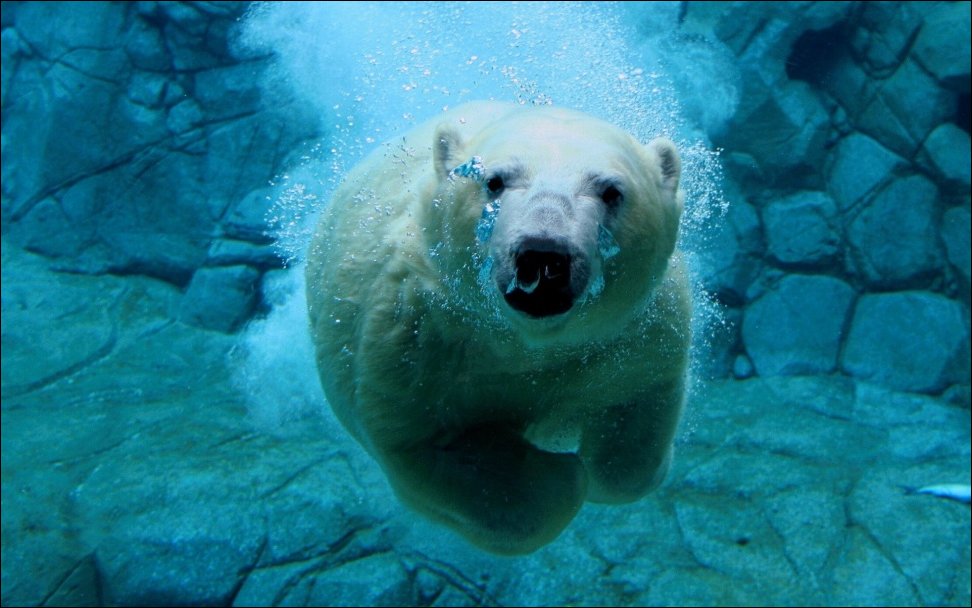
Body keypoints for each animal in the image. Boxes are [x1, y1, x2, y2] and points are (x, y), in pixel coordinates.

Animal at [306, 101, 692, 556]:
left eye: (612, 191)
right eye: (493, 181)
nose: (543, 255)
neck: (524, 342)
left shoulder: (633, 334)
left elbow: (635, 415)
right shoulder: (414, 339)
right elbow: (428, 446)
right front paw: (560, 475)